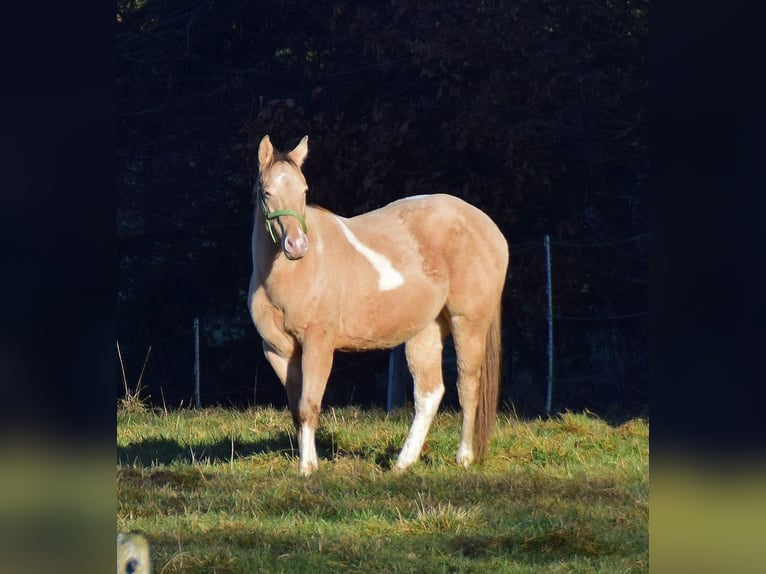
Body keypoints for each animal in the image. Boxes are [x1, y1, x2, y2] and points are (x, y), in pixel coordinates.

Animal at [248, 135, 510, 476]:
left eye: (304, 190)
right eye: (266, 191)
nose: (297, 246)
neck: (289, 274)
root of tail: (488, 227)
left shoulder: (319, 344)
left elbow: (309, 405)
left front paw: (307, 469)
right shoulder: (279, 351)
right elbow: (297, 409)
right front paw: (310, 461)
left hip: (468, 323)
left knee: (467, 385)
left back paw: (463, 457)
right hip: (425, 332)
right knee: (429, 393)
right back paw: (403, 463)